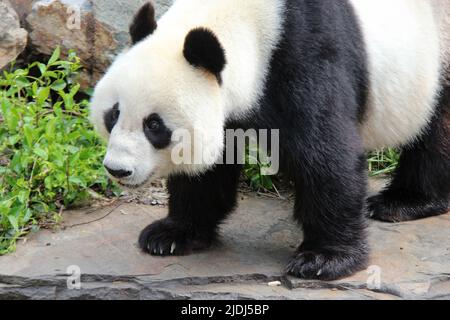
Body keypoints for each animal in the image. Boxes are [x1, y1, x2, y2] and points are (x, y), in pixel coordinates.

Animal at [89, 0, 450, 280]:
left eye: (154, 125)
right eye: (114, 114)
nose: (118, 169)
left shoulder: (305, 55)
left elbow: (326, 158)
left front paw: (323, 259)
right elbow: (209, 170)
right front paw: (172, 234)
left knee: (437, 129)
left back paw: (404, 201)